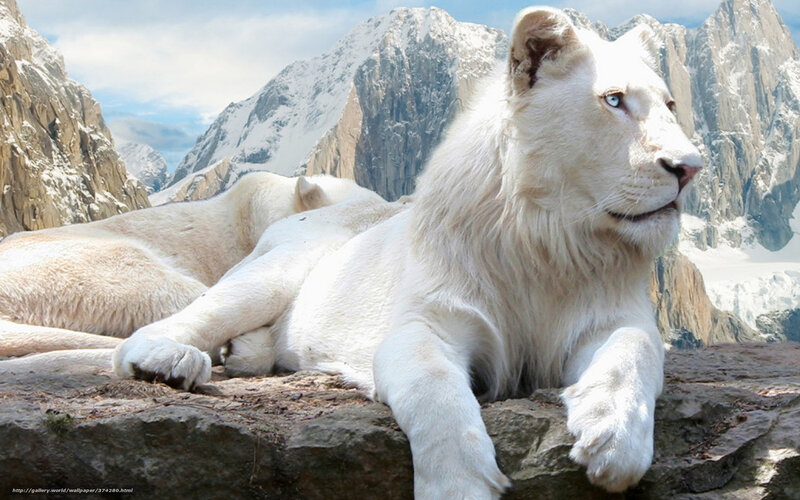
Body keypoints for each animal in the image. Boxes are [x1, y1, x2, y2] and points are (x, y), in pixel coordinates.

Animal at [114, 7, 702, 497]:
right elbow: (436, 395)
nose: (690, 168)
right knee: (171, 326)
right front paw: (459, 488)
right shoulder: (426, 324)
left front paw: (613, 440)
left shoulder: (613, 318)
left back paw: (245, 353)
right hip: (274, 273)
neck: (549, 238)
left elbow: (633, 353)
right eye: (613, 100)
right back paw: (169, 362)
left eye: (672, 105)